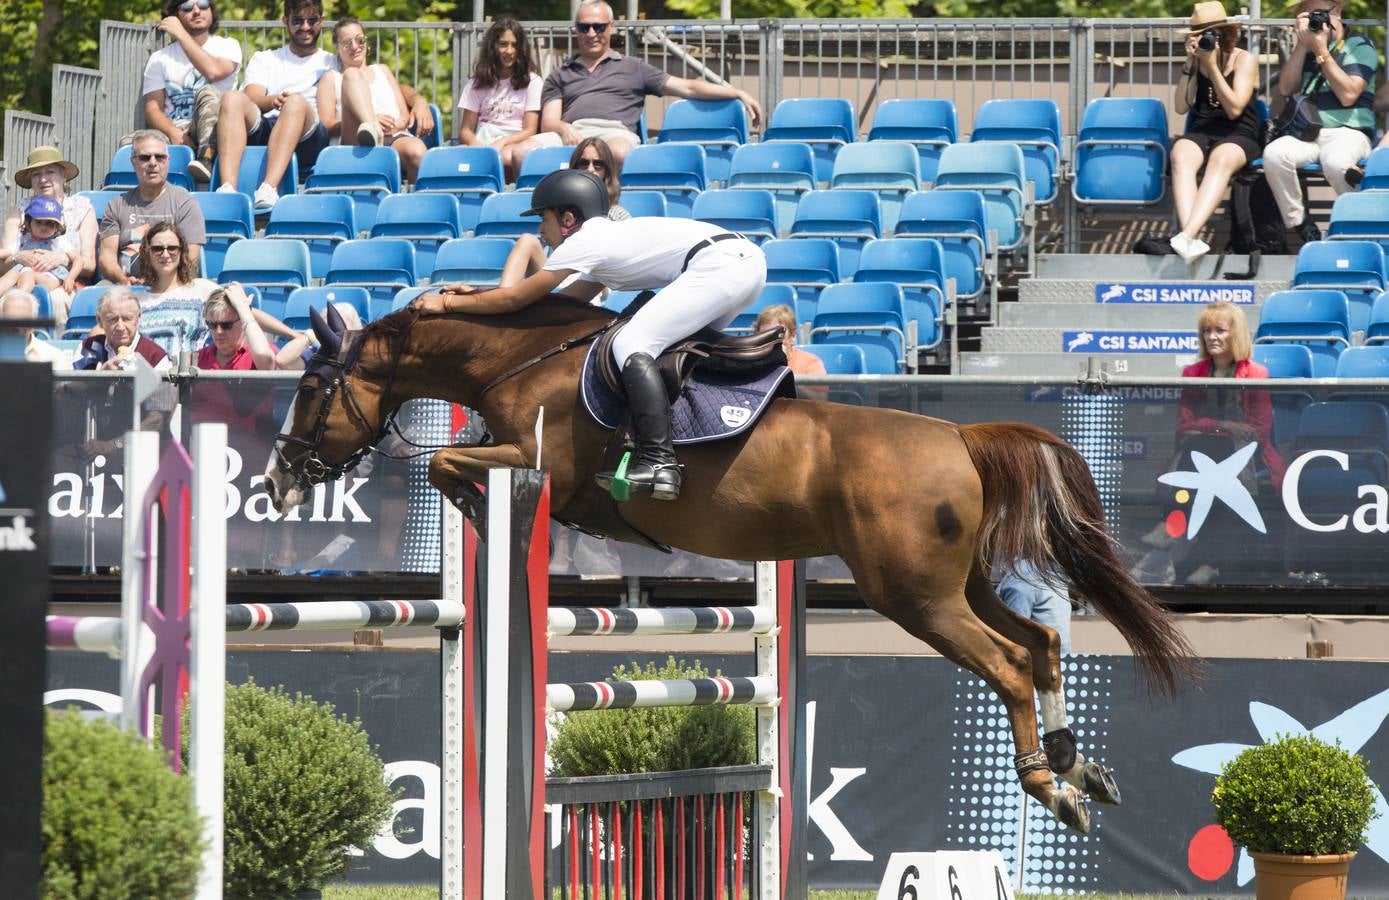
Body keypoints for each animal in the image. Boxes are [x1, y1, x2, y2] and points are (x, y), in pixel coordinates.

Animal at [265, 298, 1200, 833]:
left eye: (310, 389)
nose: (277, 480)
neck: (524, 360)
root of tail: (961, 435)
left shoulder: (534, 461)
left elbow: (445, 464)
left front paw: (475, 512)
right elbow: (446, 461)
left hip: (913, 596)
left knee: (1007, 662)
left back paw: (1052, 789)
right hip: (954, 584)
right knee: (1039, 647)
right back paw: (1080, 767)